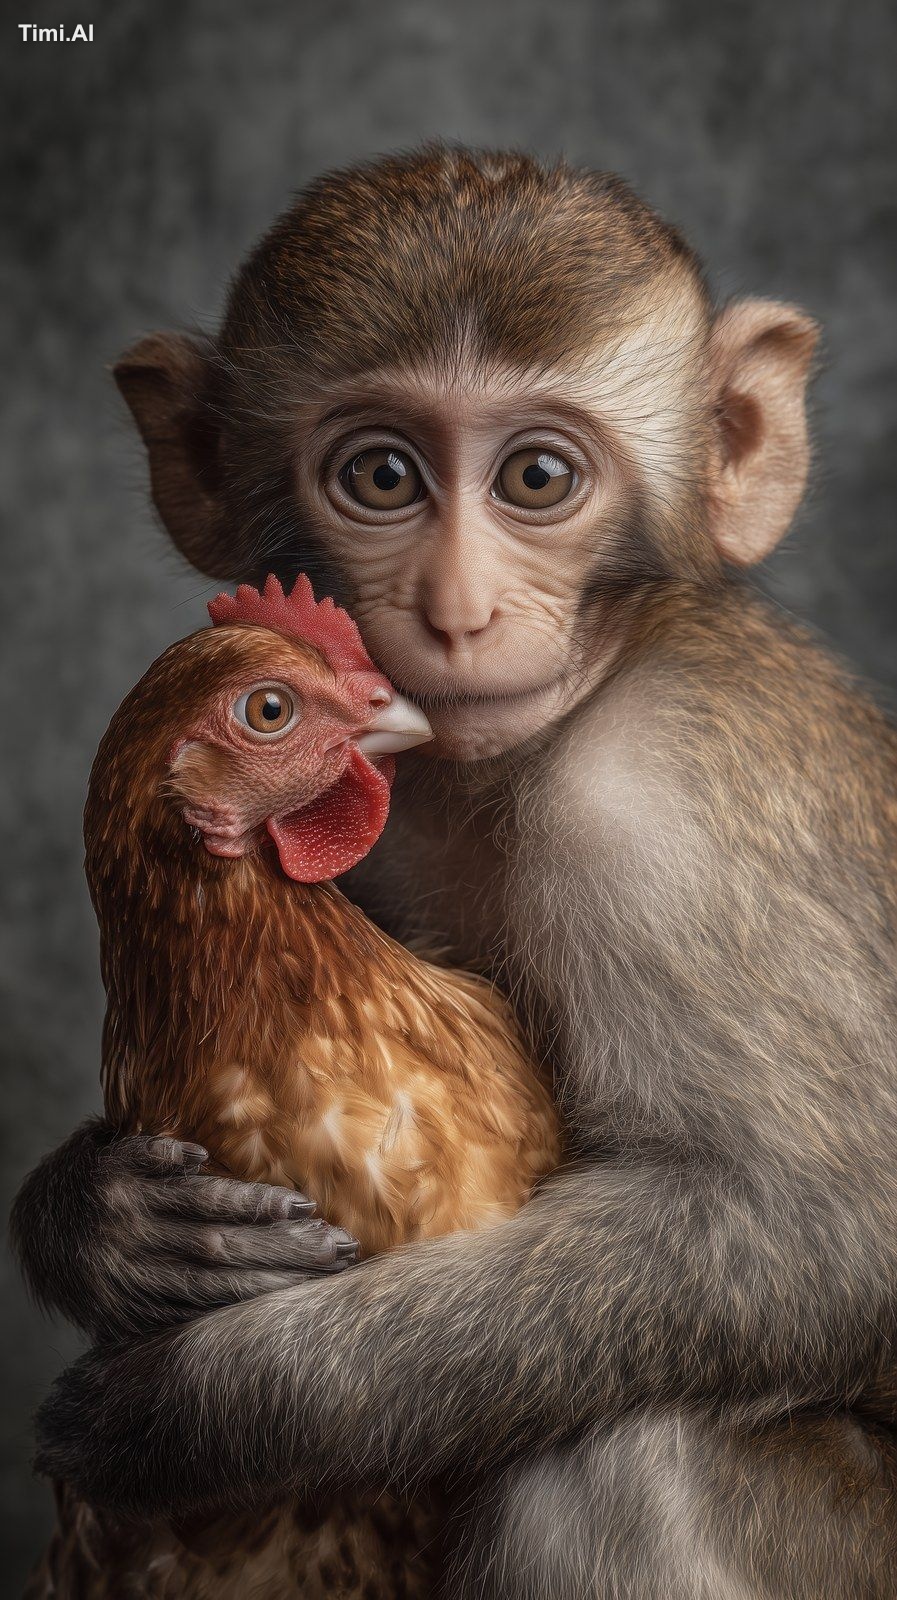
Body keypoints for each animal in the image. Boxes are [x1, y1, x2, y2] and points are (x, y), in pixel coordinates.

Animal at [13, 145, 897, 1598]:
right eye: (380, 476)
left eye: (536, 478)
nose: (456, 612)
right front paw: (93, 1220)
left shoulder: (653, 814)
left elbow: (819, 1236)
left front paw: (203, 1404)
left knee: (623, 1453)